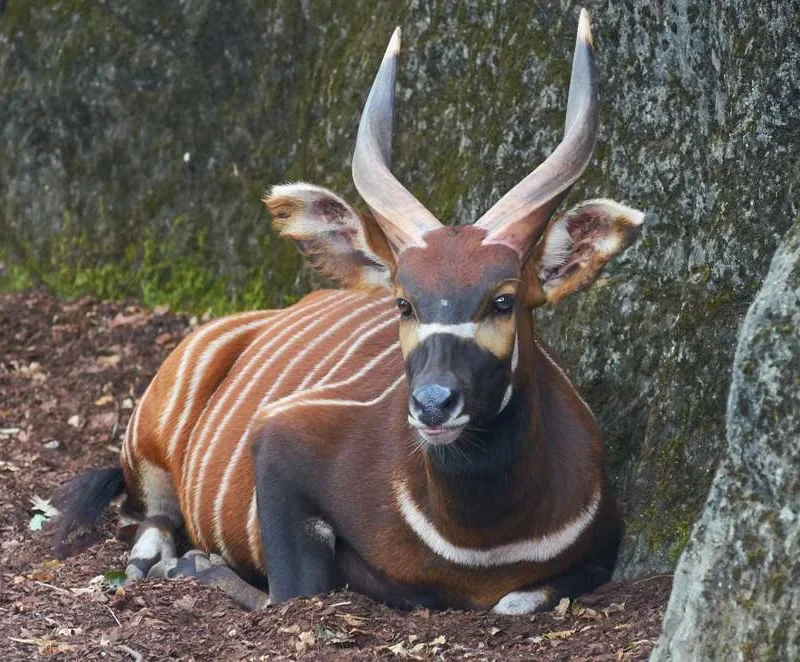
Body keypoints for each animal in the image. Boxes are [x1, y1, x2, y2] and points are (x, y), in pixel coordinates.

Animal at [52, 9, 644, 614]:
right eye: (404, 302)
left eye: (504, 299)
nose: (433, 405)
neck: (481, 545)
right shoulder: (279, 438)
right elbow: (292, 590)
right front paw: (197, 564)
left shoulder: (599, 551)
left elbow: (515, 601)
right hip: (148, 438)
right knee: (146, 520)